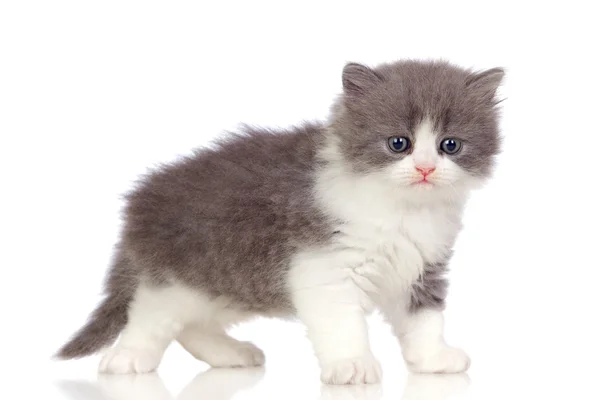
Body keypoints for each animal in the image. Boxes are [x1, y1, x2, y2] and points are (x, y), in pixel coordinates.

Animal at [57, 59, 506, 384]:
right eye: (399, 144)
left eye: (450, 145)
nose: (426, 169)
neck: (402, 209)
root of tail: (141, 200)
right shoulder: (324, 267)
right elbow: (342, 322)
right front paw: (353, 365)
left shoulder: (422, 267)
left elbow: (424, 319)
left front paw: (432, 359)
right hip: (183, 274)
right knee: (149, 313)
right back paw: (127, 357)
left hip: (230, 285)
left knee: (191, 325)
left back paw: (231, 353)